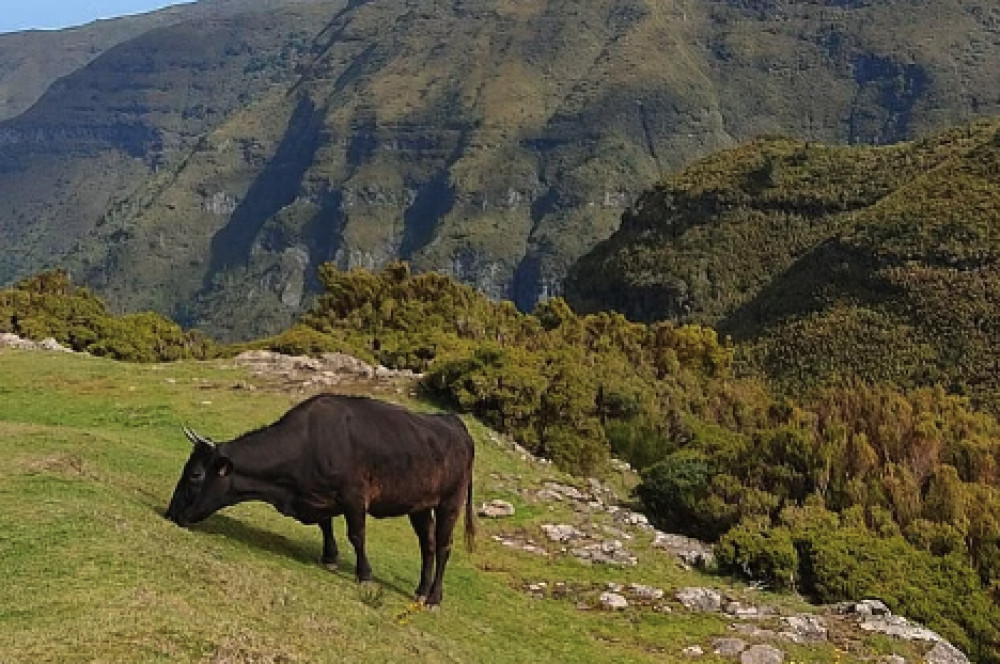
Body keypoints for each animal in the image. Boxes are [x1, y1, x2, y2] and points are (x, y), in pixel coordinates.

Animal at [164, 394, 476, 608]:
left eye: (195, 474)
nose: (170, 513)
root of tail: (453, 422)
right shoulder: (319, 497)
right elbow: (325, 525)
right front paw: (330, 558)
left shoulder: (354, 496)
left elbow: (356, 535)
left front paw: (364, 575)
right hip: (419, 505)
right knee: (428, 544)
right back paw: (421, 590)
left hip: (451, 501)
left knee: (444, 546)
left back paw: (434, 598)